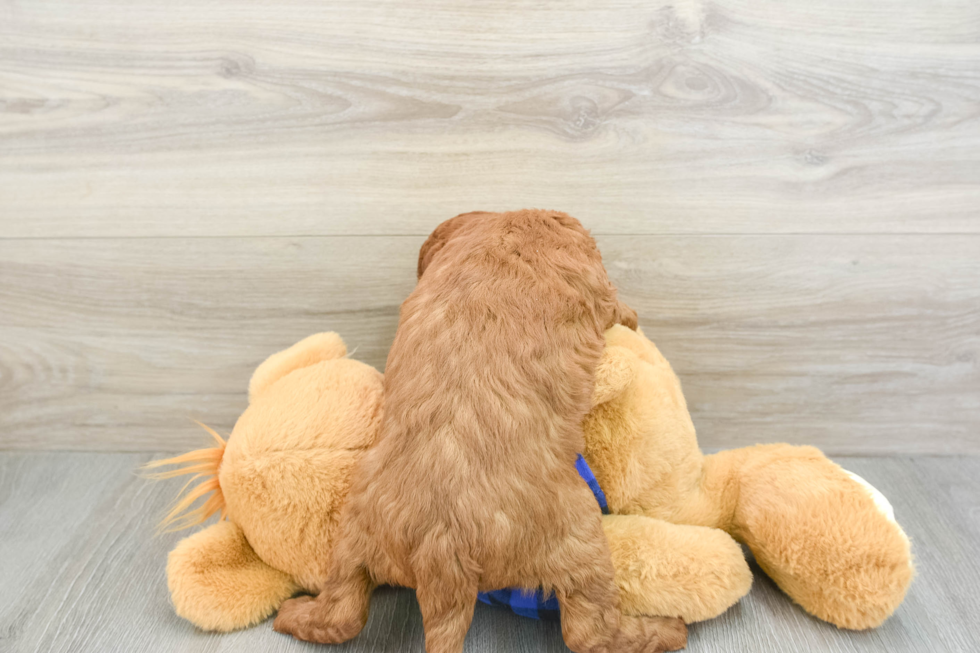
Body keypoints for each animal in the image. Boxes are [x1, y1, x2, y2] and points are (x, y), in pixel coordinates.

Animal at [272, 210, 684, 652]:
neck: (507, 225)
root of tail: (440, 548)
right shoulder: (595, 285)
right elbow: (616, 306)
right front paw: (633, 318)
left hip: (353, 536)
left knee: (340, 613)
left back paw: (292, 613)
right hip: (579, 538)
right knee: (591, 631)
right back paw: (667, 629)